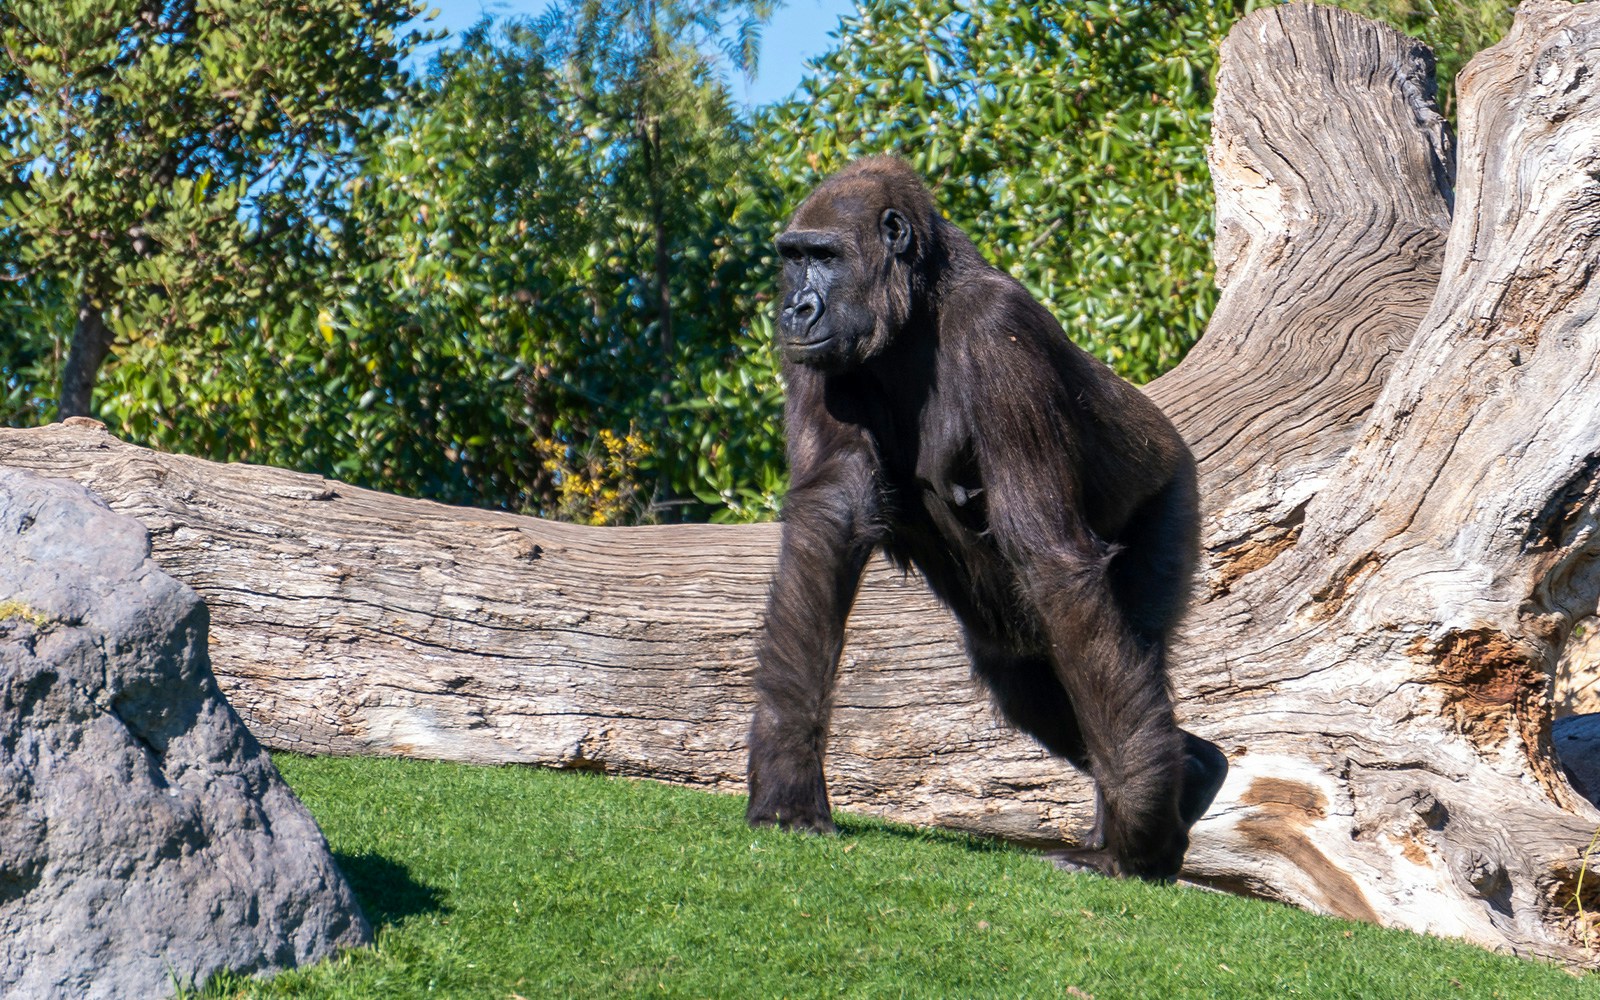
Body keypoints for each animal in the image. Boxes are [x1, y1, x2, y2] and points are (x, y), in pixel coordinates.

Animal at [745, 152, 1222, 876]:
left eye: (824, 256)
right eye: (793, 258)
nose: (794, 309)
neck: (919, 308)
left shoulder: (999, 331)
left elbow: (1051, 557)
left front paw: (1137, 833)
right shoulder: (820, 360)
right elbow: (828, 519)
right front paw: (787, 781)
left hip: (1173, 490)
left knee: (1115, 642)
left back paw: (1156, 806)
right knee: (1025, 680)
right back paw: (1189, 771)